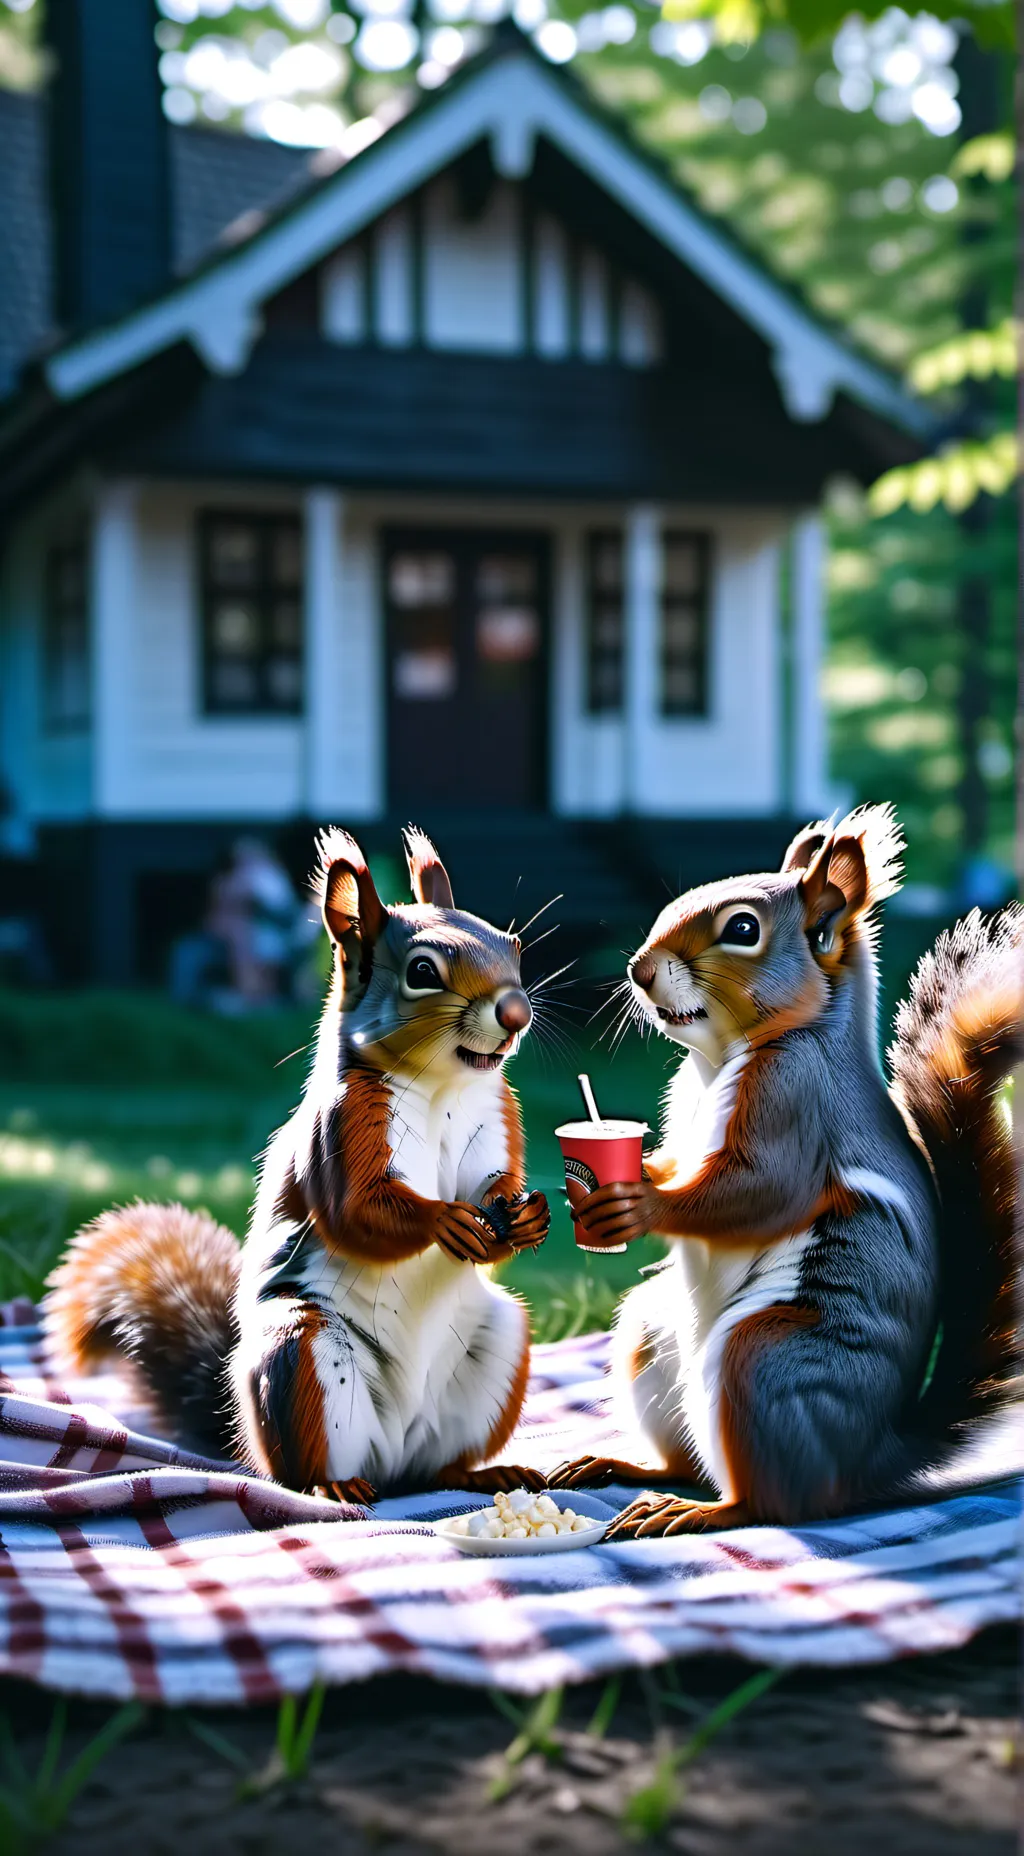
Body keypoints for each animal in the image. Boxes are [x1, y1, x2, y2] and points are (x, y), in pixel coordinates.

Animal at [43, 826, 556, 1505]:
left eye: (513, 945)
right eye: (422, 971)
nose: (516, 1013)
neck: (443, 1085)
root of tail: (393, 1463)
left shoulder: (495, 1115)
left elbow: (495, 1183)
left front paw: (526, 1219)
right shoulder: (341, 1129)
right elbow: (358, 1211)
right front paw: (442, 1221)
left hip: (496, 1344)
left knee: (439, 1464)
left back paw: (482, 1473)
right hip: (303, 1355)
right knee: (309, 1466)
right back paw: (333, 1487)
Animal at [563, 804, 1021, 1538]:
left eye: (743, 929)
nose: (638, 969)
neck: (717, 1060)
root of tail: (866, 1461)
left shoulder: (793, 1100)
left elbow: (757, 1191)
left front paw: (640, 1203)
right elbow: (677, 1163)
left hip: (763, 1360)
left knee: (767, 1504)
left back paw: (696, 1511)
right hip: (652, 1335)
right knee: (686, 1459)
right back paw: (627, 1469)